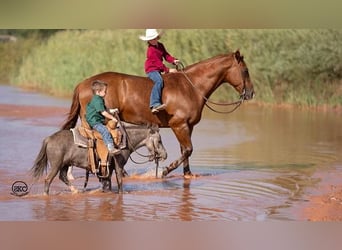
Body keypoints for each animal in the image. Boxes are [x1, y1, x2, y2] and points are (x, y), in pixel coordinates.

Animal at [30, 123, 167, 195]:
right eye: (159, 141)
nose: (165, 155)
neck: (124, 141)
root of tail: (49, 139)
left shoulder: (108, 168)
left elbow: (107, 183)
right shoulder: (118, 166)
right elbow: (119, 181)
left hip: (65, 164)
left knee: (62, 177)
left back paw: (75, 191)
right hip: (56, 165)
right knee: (48, 180)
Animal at [61, 49, 254, 177]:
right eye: (245, 71)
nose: (251, 93)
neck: (191, 87)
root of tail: (83, 84)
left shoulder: (188, 126)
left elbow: (185, 150)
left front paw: (187, 173)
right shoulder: (179, 125)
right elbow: (188, 149)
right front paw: (165, 171)